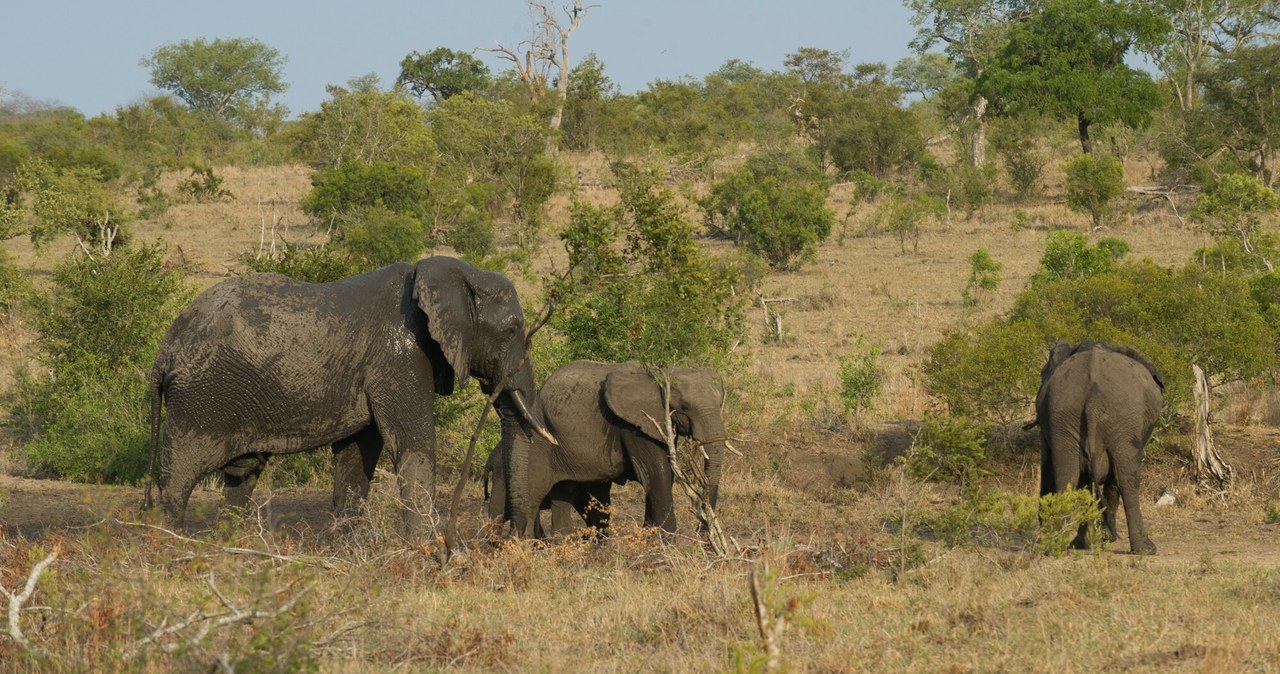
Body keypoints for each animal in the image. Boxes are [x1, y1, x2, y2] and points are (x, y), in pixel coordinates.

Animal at [145, 253, 555, 532]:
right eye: (512, 330)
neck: (450, 273)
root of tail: (165, 347)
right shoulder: (399, 358)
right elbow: (412, 444)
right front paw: (436, 557)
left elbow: (357, 457)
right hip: (200, 399)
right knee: (178, 480)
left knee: (240, 481)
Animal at [488, 360, 732, 539]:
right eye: (684, 407)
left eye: (720, 402)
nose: (702, 533)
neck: (658, 376)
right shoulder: (633, 424)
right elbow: (656, 474)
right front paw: (666, 541)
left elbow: (660, 477)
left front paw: (649, 536)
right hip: (535, 441)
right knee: (531, 499)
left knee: (564, 493)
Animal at [1034, 340, 1167, 557]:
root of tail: (1093, 396)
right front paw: (1103, 538)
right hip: (1123, 419)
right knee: (1126, 479)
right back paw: (1145, 549)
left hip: (1064, 416)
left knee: (1068, 477)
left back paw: (1060, 546)